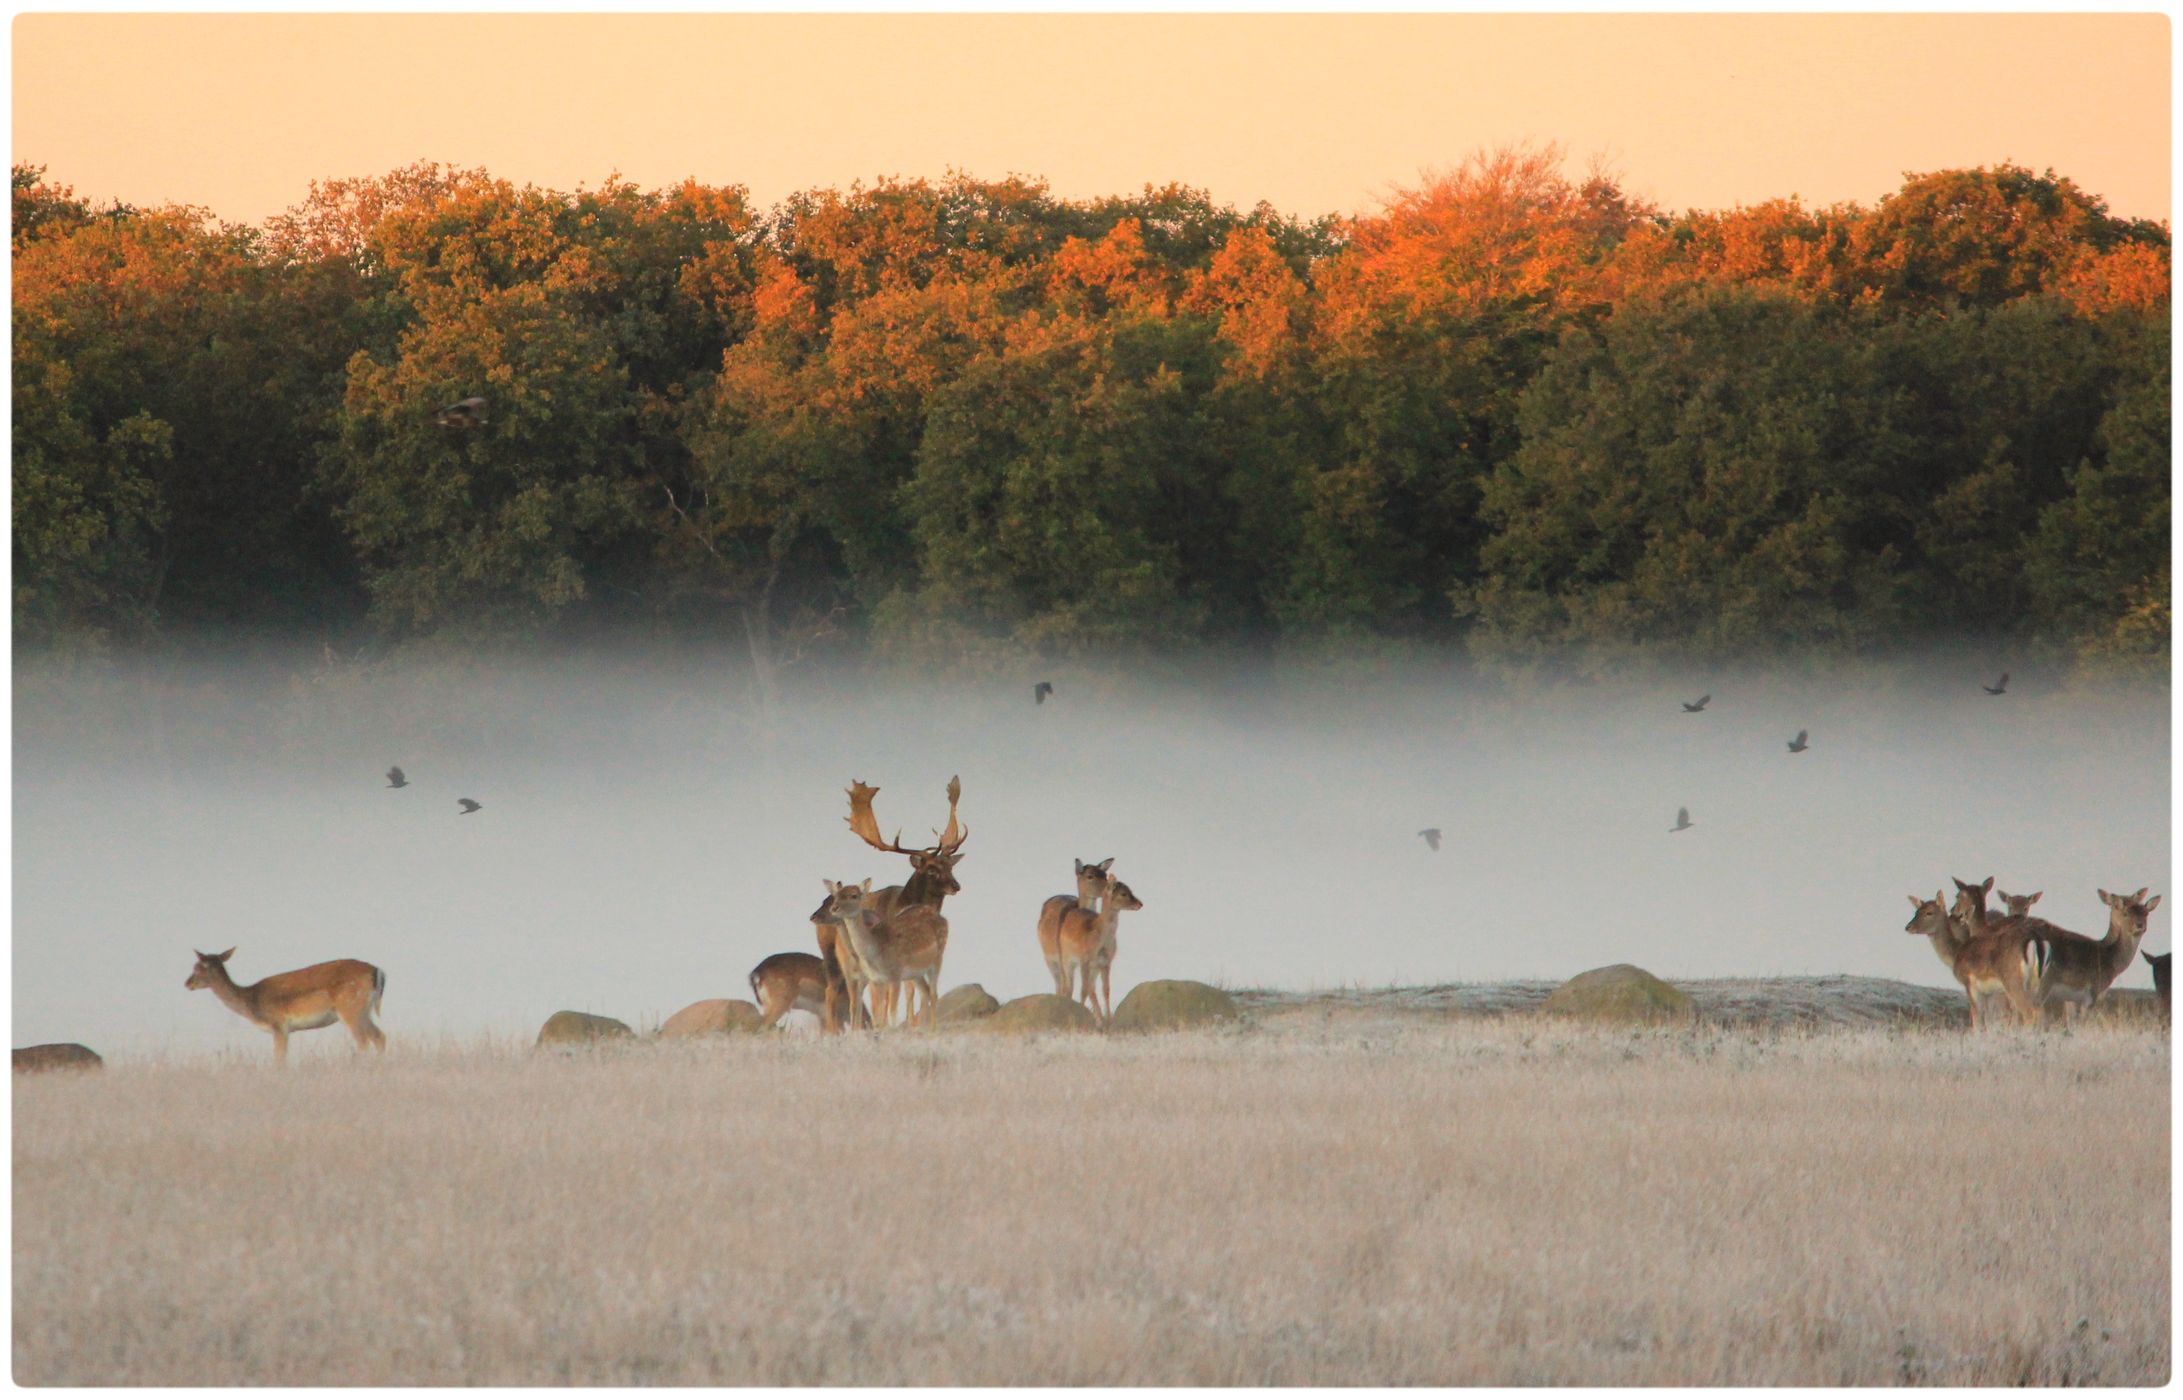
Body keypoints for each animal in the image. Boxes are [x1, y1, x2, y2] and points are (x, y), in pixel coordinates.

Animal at [185, 948, 386, 1065]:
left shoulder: (279, 1024)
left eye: (200, 967)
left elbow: (279, 1059)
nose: (187, 983)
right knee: (379, 1036)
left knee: (363, 1040)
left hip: (350, 1008)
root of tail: (378, 972)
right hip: (364, 1010)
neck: (251, 1001)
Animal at [817, 878, 948, 1030]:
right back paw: (922, 1029)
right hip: (916, 973)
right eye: (836, 896)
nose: (834, 908)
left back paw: (933, 1030)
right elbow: (878, 1014)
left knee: (933, 994)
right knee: (925, 992)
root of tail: (943, 918)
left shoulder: (895, 975)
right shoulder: (875, 979)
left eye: (854, 895)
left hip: (938, 958)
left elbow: (891, 1011)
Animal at [1038, 858, 1115, 997]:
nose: (1109, 888)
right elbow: (1067, 988)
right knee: (1059, 985)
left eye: (1105, 875)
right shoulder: (1063, 958)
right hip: (1050, 958)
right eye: (1090, 876)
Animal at [1057, 879, 1145, 1025]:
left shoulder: (1106, 963)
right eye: (1123, 893)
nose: (1140, 904)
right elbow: (1083, 989)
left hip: (1094, 967)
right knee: (1070, 987)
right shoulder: (1084, 961)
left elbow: (1105, 989)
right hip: (1066, 959)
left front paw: (1108, 1017)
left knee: (1091, 988)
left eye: (1130, 890)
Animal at [1906, 893, 2041, 1029]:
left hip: (2013, 980)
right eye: (1916, 911)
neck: (1956, 952)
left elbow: (1977, 1017)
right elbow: (1988, 1019)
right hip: (2034, 982)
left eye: (1929, 912)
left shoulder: (1969, 982)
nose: (1908, 927)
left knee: (2029, 1012)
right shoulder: (1989, 992)